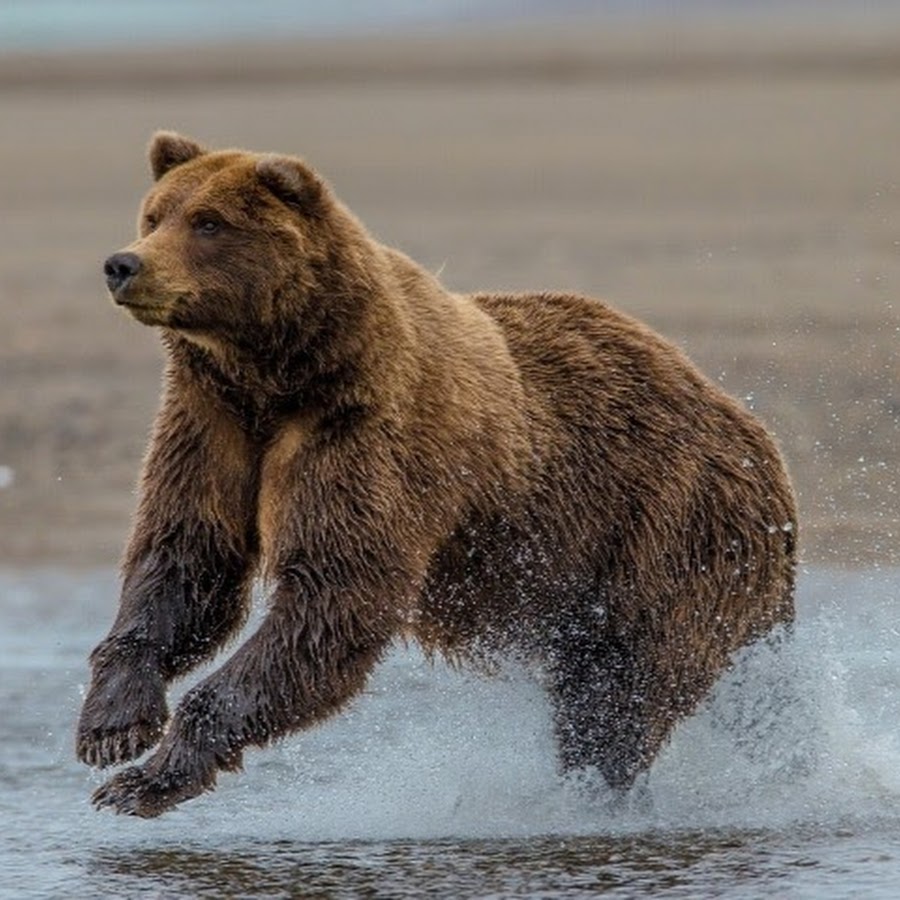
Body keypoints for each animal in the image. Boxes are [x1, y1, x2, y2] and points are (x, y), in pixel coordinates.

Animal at [75, 132, 796, 816]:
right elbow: (186, 559)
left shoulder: (363, 434)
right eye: (154, 214)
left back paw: (593, 792)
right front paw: (112, 725)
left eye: (209, 222)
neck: (274, 374)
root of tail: (753, 433)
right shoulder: (211, 423)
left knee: (621, 693)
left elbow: (333, 593)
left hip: (667, 532)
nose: (123, 264)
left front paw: (144, 780)